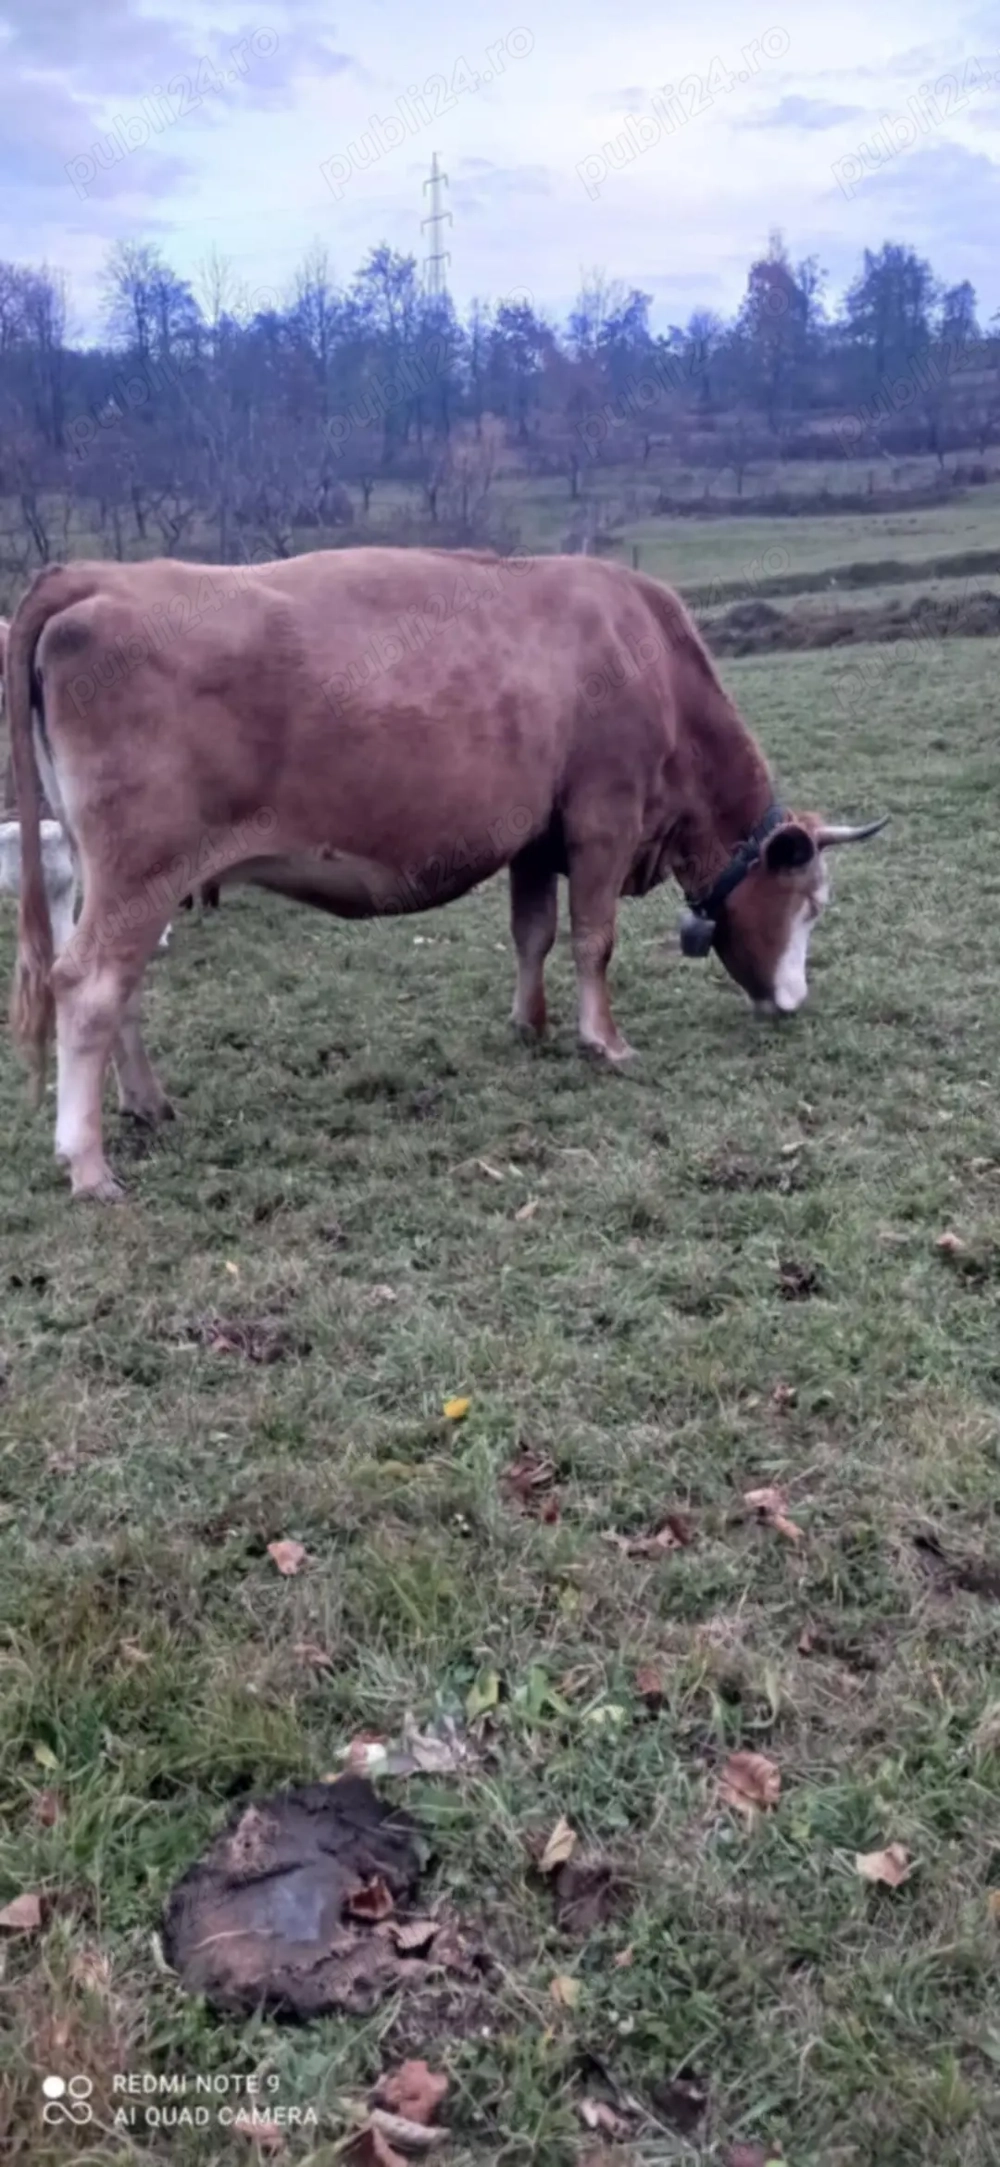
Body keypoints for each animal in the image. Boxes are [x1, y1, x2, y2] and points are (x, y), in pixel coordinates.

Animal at [4, 549, 887, 1202]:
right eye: (811, 904)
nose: (794, 1001)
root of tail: (97, 575)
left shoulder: (538, 836)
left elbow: (533, 932)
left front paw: (529, 1023)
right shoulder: (603, 816)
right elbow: (592, 938)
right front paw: (603, 1040)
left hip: (126, 878)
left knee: (123, 986)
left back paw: (148, 1103)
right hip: (140, 865)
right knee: (87, 984)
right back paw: (88, 1163)